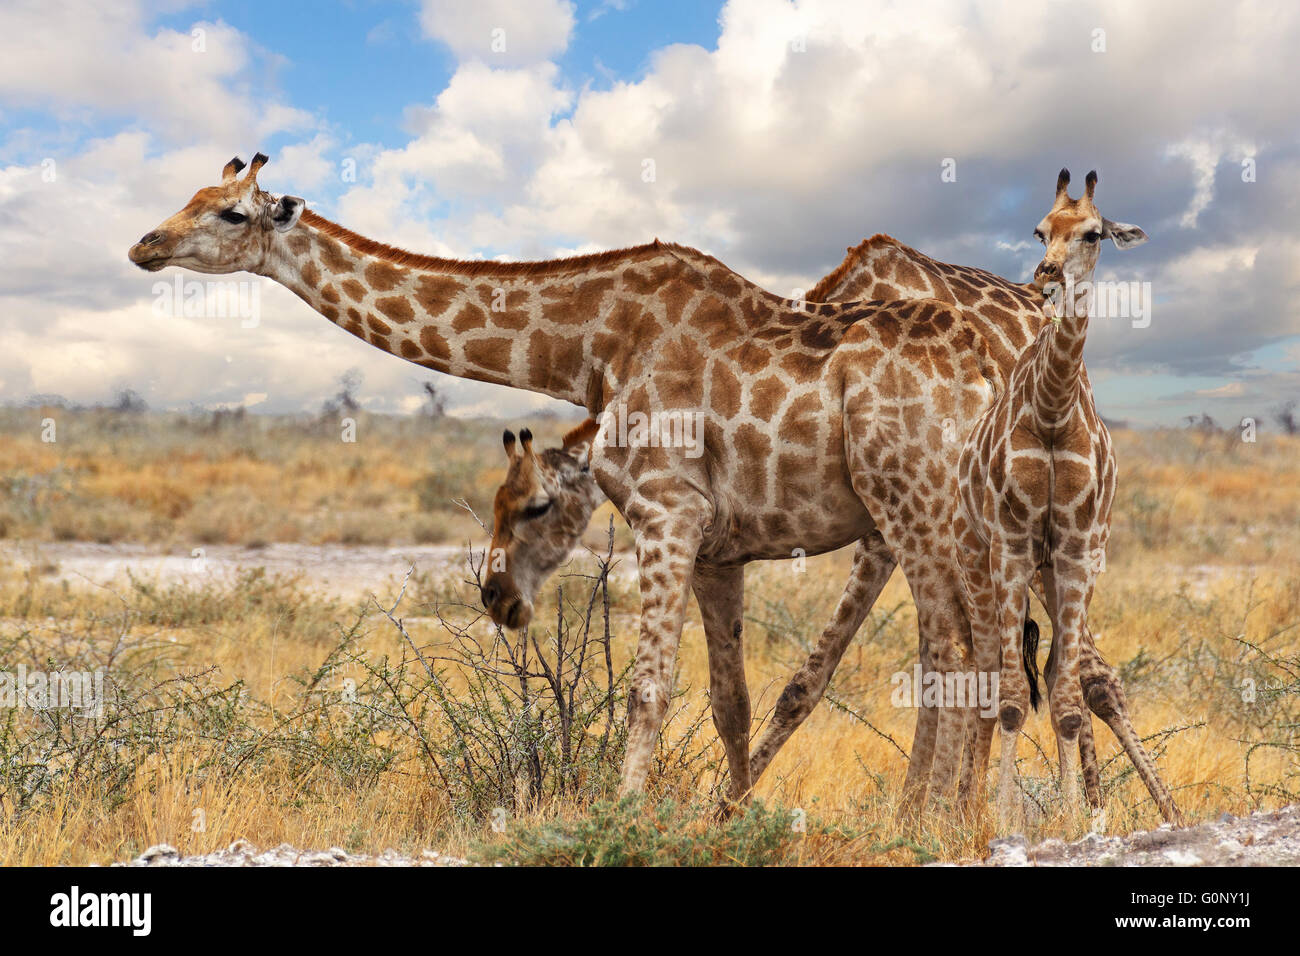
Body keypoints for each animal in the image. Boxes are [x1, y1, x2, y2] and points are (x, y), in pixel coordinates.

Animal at [126, 153, 993, 806]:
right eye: (190, 197)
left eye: (229, 214)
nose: (143, 247)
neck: (596, 340)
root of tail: (988, 367)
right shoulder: (717, 543)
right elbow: (729, 700)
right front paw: (727, 818)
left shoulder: (670, 513)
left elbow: (649, 689)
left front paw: (627, 820)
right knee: (969, 646)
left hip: (911, 503)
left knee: (955, 646)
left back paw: (937, 821)